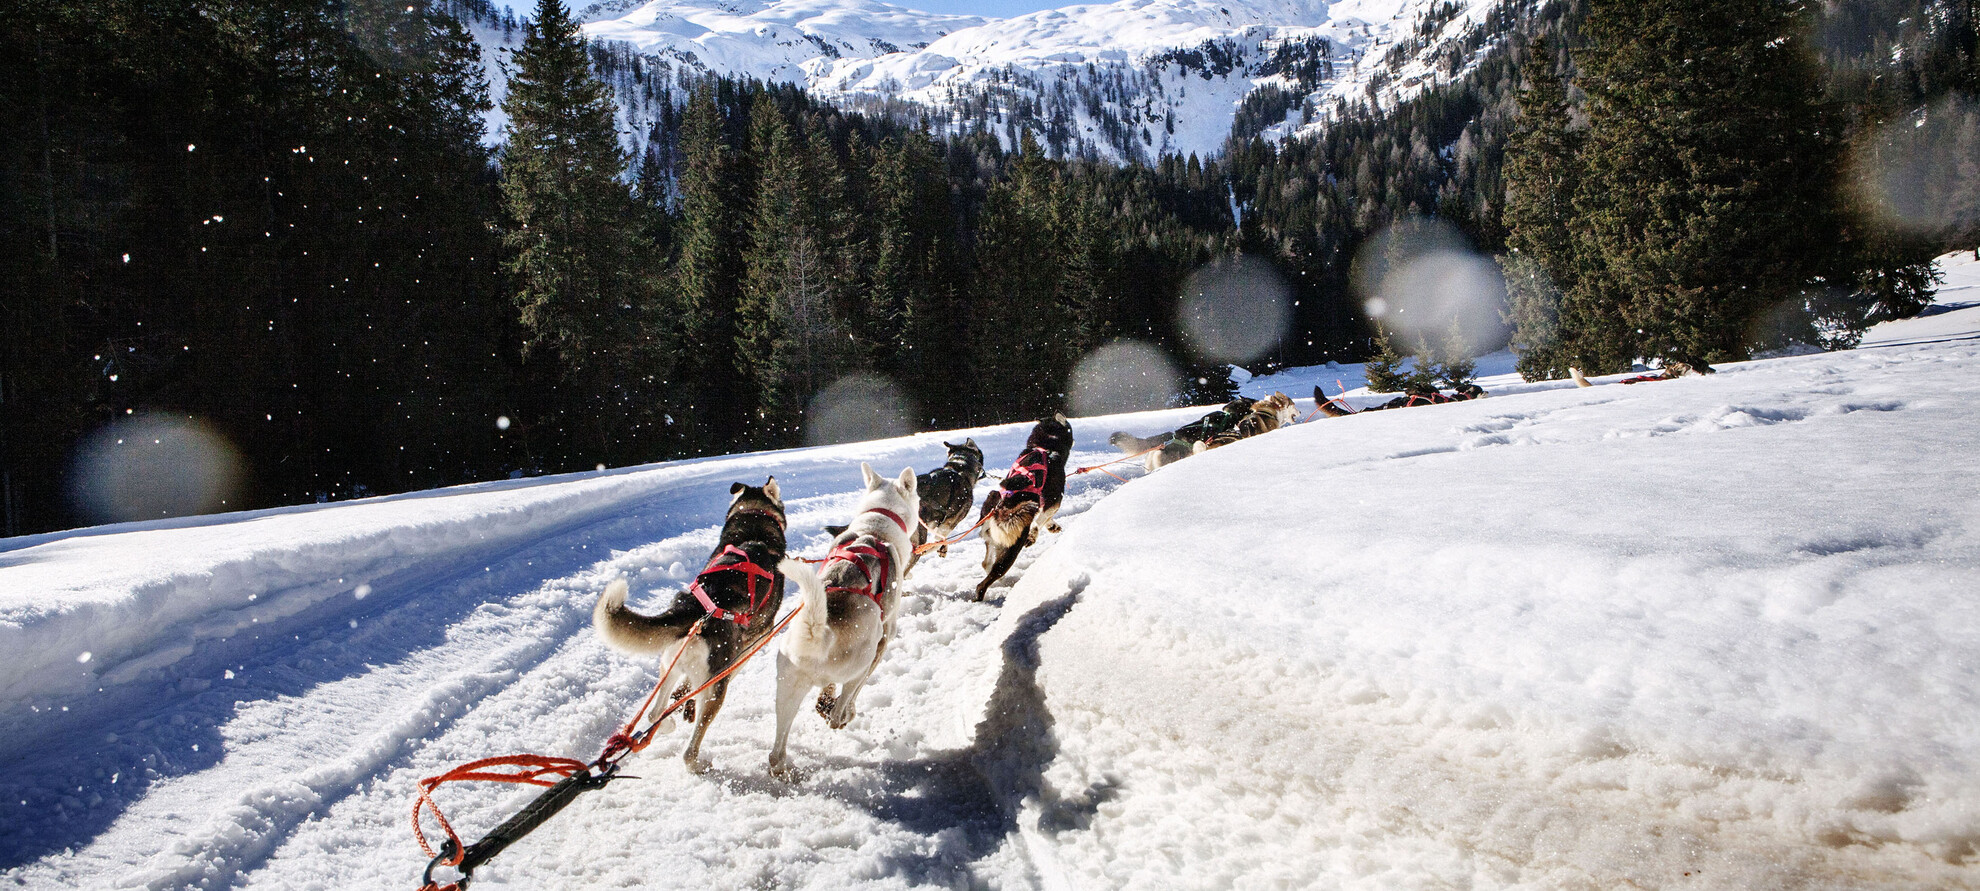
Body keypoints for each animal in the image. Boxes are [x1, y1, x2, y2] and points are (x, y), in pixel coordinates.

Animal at [594, 481, 788, 772]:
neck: (753, 526)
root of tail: (698, 608)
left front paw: (681, 702)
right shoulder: (749, 646)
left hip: (670, 665)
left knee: (654, 712)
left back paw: (666, 722)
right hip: (715, 689)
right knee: (689, 748)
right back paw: (698, 762)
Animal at [970, 415, 1069, 597]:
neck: (1045, 448)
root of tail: (1000, 509)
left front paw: (1051, 526)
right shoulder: (1054, 500)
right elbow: (1042, 518)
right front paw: (1036, 533)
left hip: (993, 538)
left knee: (986, 564)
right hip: (1010, 551)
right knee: (986, 581)